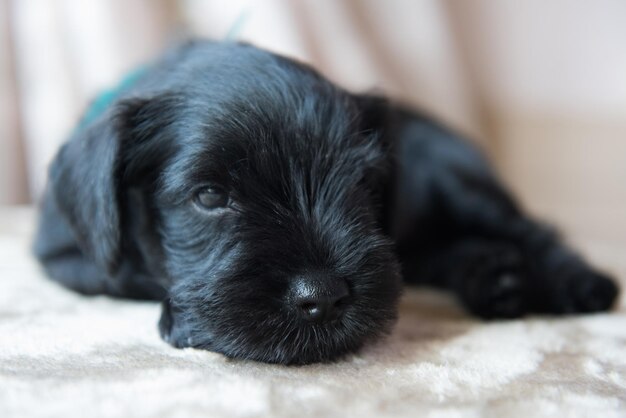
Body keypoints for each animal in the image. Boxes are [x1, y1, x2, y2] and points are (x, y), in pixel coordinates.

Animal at [34, 40, 616, 364]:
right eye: (209, 196)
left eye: (362, 185)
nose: (326, 297)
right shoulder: (64, 259)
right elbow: (121, 274)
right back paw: (498, 280)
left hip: (459, 185)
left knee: (530, 230)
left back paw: (577, 284)